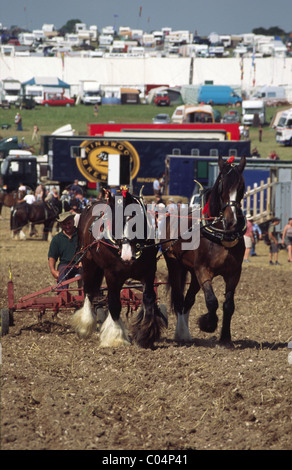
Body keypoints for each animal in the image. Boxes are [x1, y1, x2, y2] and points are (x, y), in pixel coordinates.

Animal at [71, 189, 167, 346]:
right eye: (115, 223)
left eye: (136, 222)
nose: (127, 256)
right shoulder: (112, 274)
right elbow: (114, 303)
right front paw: (116, 337)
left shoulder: (149, 271)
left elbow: (148, 299)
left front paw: (146, 334)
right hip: (89, 264)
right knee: (88, 291)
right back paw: (85, 324)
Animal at [162, 156, 246, 346]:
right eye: (222, 184)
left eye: (241, 186)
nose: (232, 221)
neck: (220, 233)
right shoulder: (203, 270)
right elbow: (212, 301)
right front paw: (208, 324)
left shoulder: (234, 273)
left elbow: (228, 305)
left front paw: (225, 338)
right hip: (175, 265)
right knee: (179, 299)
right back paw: (181, 333)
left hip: (193, 274)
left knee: (188, 300)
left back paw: (185, 333)